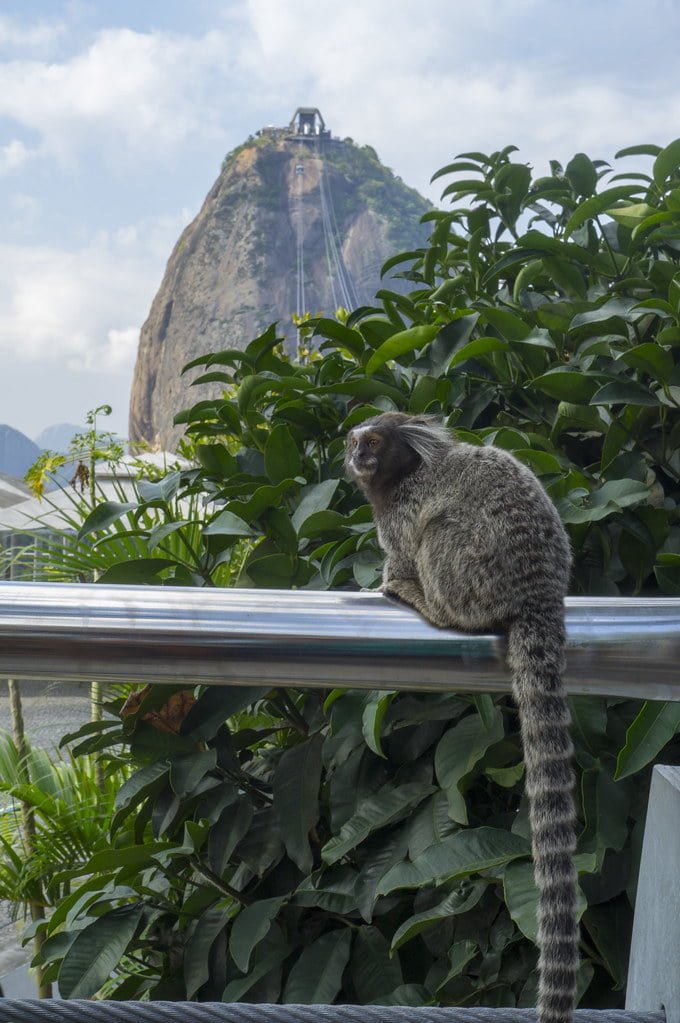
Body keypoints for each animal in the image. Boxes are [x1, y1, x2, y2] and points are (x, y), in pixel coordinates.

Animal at [347, 411, 576, 1023]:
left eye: (372, 442)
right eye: (352, 441)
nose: (357, 457)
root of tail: (538, 592)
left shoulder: (402, 514)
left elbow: (405, 547)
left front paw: (390, 578)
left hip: (471, 575)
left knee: (439, 539)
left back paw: (425, 601)